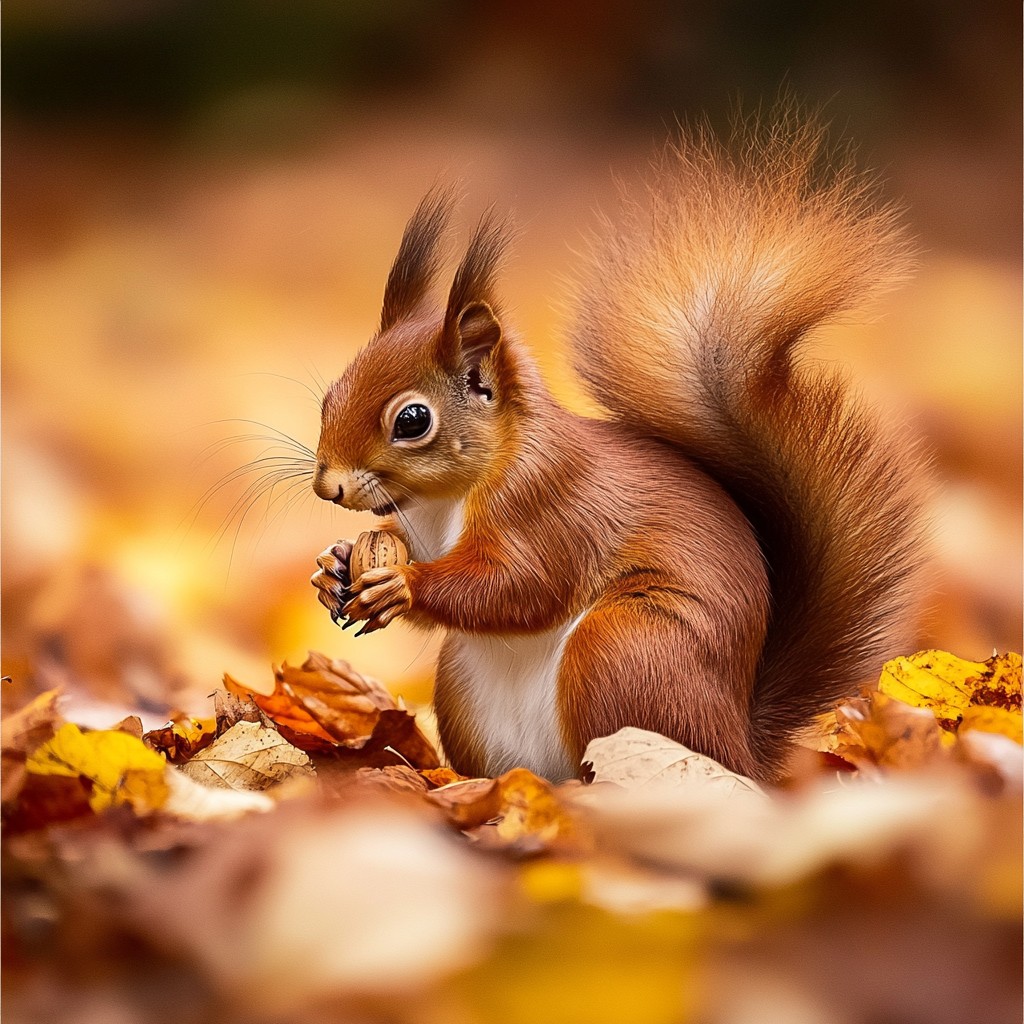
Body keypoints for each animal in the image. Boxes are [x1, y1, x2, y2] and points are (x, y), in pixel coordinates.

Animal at [309, 111, 928, 783]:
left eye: (413, 420)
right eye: (329, 395)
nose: (328, 485)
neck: (448, 497)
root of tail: (739, 749)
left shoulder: (547, 506)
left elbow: (519, 586)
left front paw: (402, 584)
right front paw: (335, 564)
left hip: (624, 652)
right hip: (467, 687)